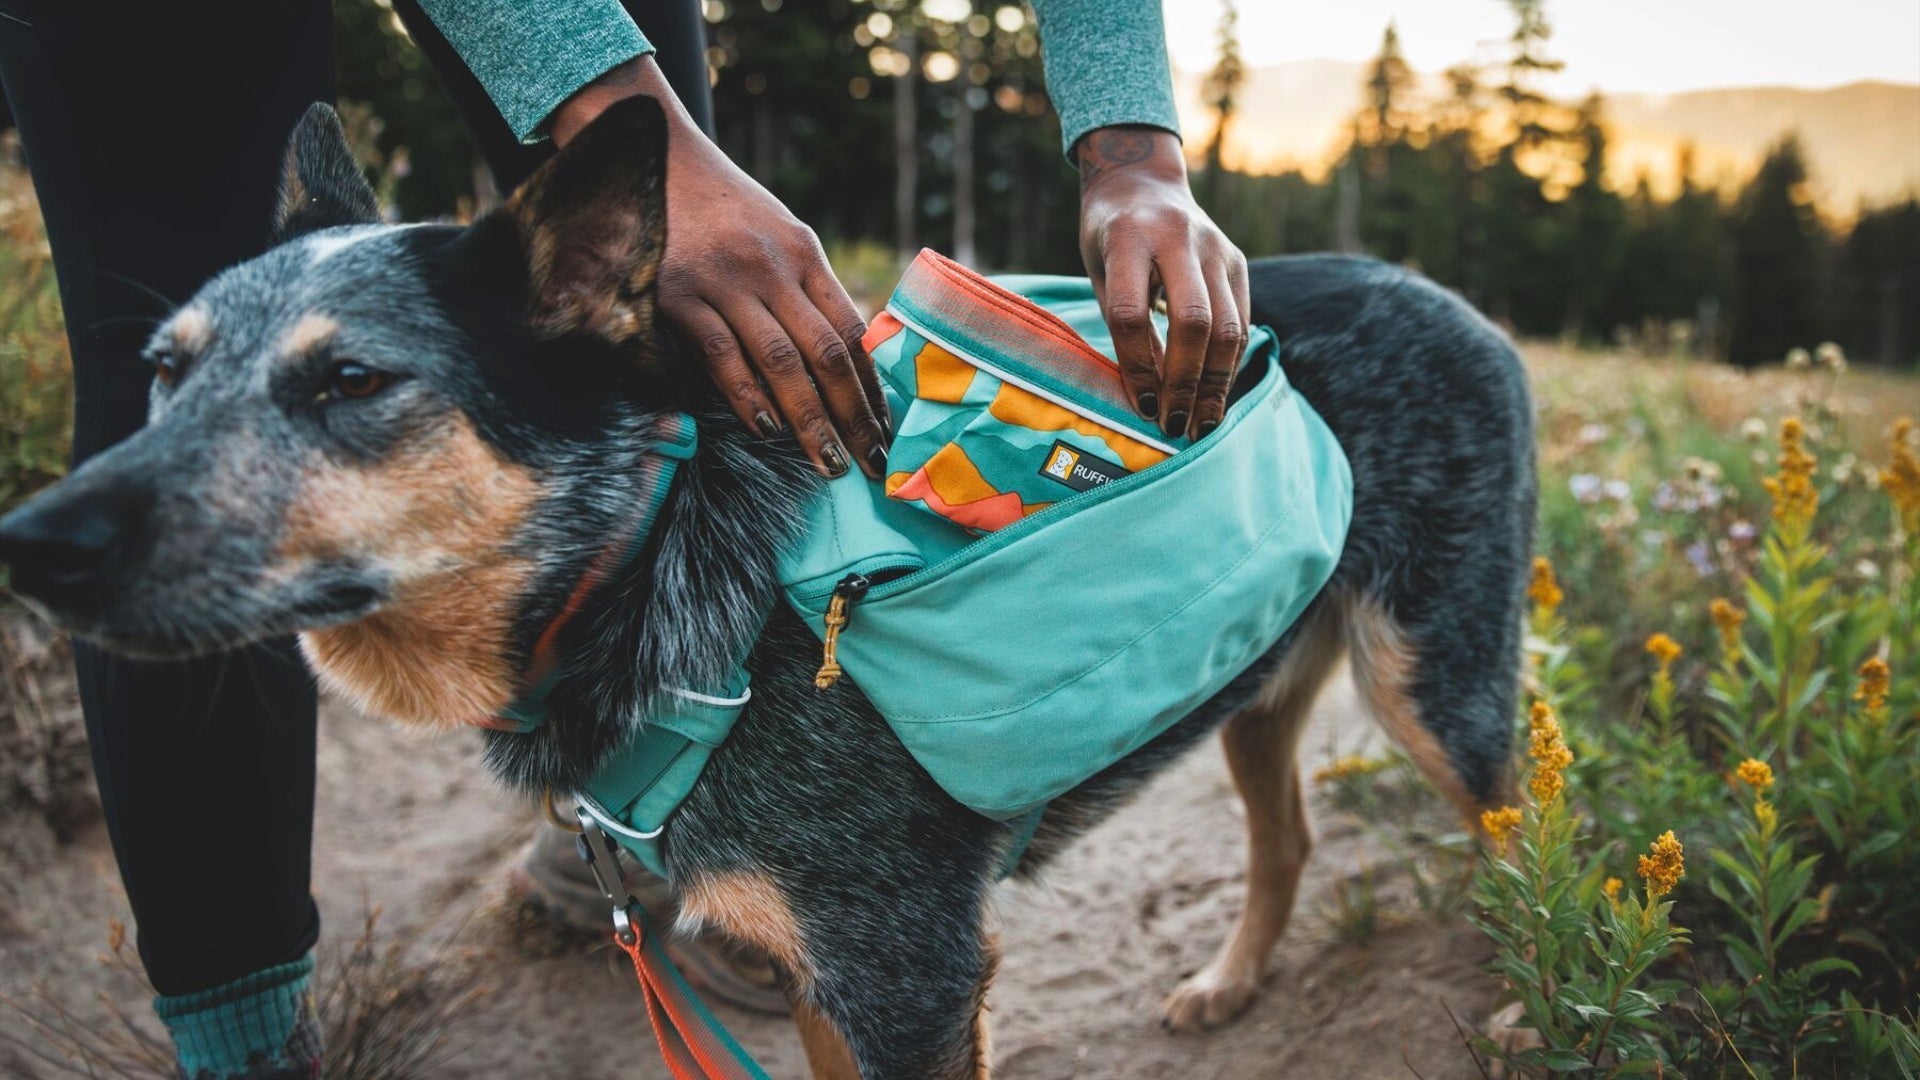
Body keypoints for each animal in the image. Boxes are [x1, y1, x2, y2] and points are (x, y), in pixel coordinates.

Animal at [0, 96, 1528, 1068]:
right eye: (161, 372)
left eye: (351, 382)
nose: (34, 541)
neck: (659, 565)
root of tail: (1436, 287)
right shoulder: (817, 975)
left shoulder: (908, 980)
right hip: (1262, 693)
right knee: (1290, 839)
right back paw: (1231, 980)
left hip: (1436, 689)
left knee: (1520, 835)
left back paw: (1526, 1000)